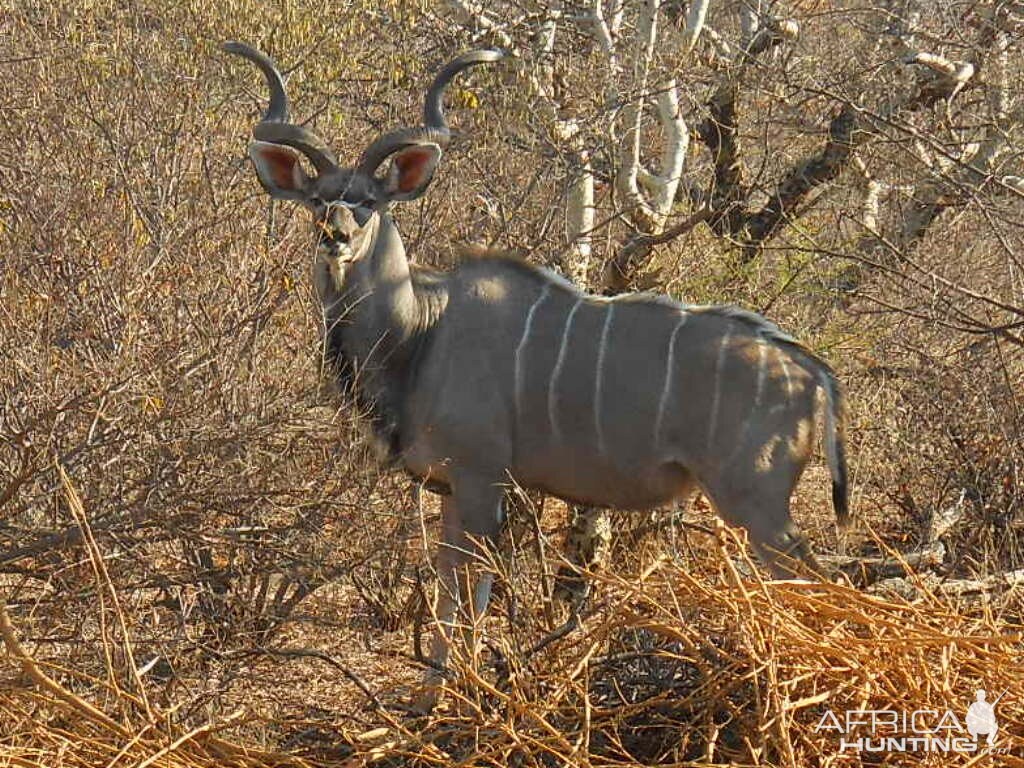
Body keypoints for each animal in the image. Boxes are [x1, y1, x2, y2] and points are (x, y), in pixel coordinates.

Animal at [224, 43, 847, 708]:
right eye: (318, 198)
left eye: (369, 201)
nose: (336, 235)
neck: (421, 332)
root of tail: (810, 369)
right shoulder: (454, 488)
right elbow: (451, 588)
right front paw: (432, 696)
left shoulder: (482, 479)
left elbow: (471, 592)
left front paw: (461, 697)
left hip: (754, 497)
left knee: (815, 580)